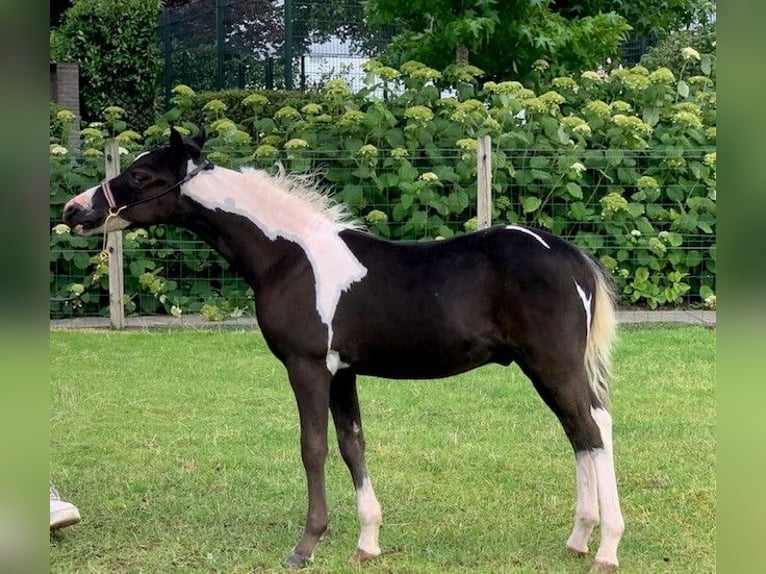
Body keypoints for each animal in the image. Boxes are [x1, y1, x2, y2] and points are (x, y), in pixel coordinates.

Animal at [62, 128, 624, 571]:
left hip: (554, 366)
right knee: (579, 433)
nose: (74, 210)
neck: (289, 256)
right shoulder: (343, 373)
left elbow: (312, 447)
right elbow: (353, 444)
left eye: (140, 175)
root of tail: (571, 256)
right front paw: (367, 542)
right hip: (541, 369)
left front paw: (305, 545)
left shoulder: (307, 367)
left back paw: (606, 549)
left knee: (594, 427)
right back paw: (579, 538)